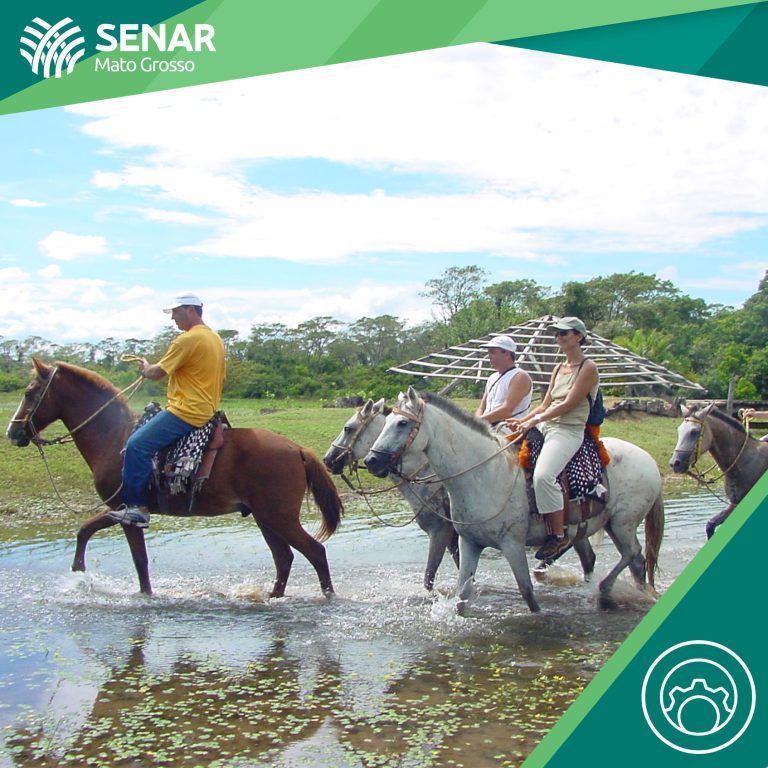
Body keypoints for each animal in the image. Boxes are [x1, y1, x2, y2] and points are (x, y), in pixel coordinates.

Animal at [6, 359, 343, 598]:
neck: (114, 437)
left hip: (279, 517)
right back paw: (272, 598)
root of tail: (297, 448)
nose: (13, 432)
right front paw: (79, 573)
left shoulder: (128, 511)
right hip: (265, 518)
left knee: (315, 552)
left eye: (29, 393)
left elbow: (139, 562)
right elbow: (85, 531)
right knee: (283, 558)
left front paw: (142, 597)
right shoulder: (119, 509)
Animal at [364, 387, 664, 614]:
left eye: (402, 423)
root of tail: (649, 459)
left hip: (624, 523)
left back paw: (605, 591)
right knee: (635, 561)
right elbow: (463, 594)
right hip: (612, 524)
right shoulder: (469, 542)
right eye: (385, 423)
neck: (484, 473)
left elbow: (527, 591)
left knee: (632, 553)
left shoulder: (512, 544)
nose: (371, 460)